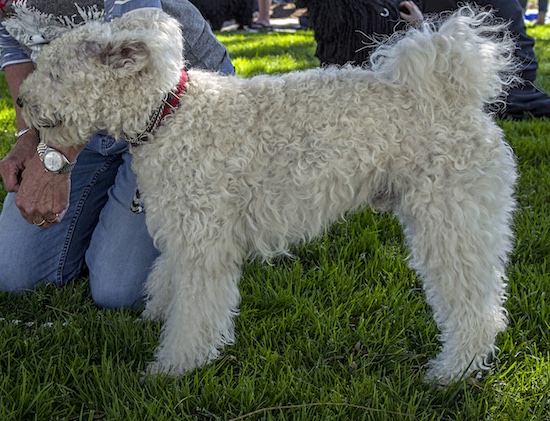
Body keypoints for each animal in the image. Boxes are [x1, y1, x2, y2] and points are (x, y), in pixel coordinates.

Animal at [18, 6, 520, 382]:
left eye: (56, 73)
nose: (20, 101)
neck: (169, 114)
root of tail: (452, 97)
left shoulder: (206, 243)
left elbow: (196, 313)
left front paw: (173, 368)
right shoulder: (185, 229)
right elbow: (166, 278)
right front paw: (156, 314)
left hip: (453, 218)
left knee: (477, 306)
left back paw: (453, 371)